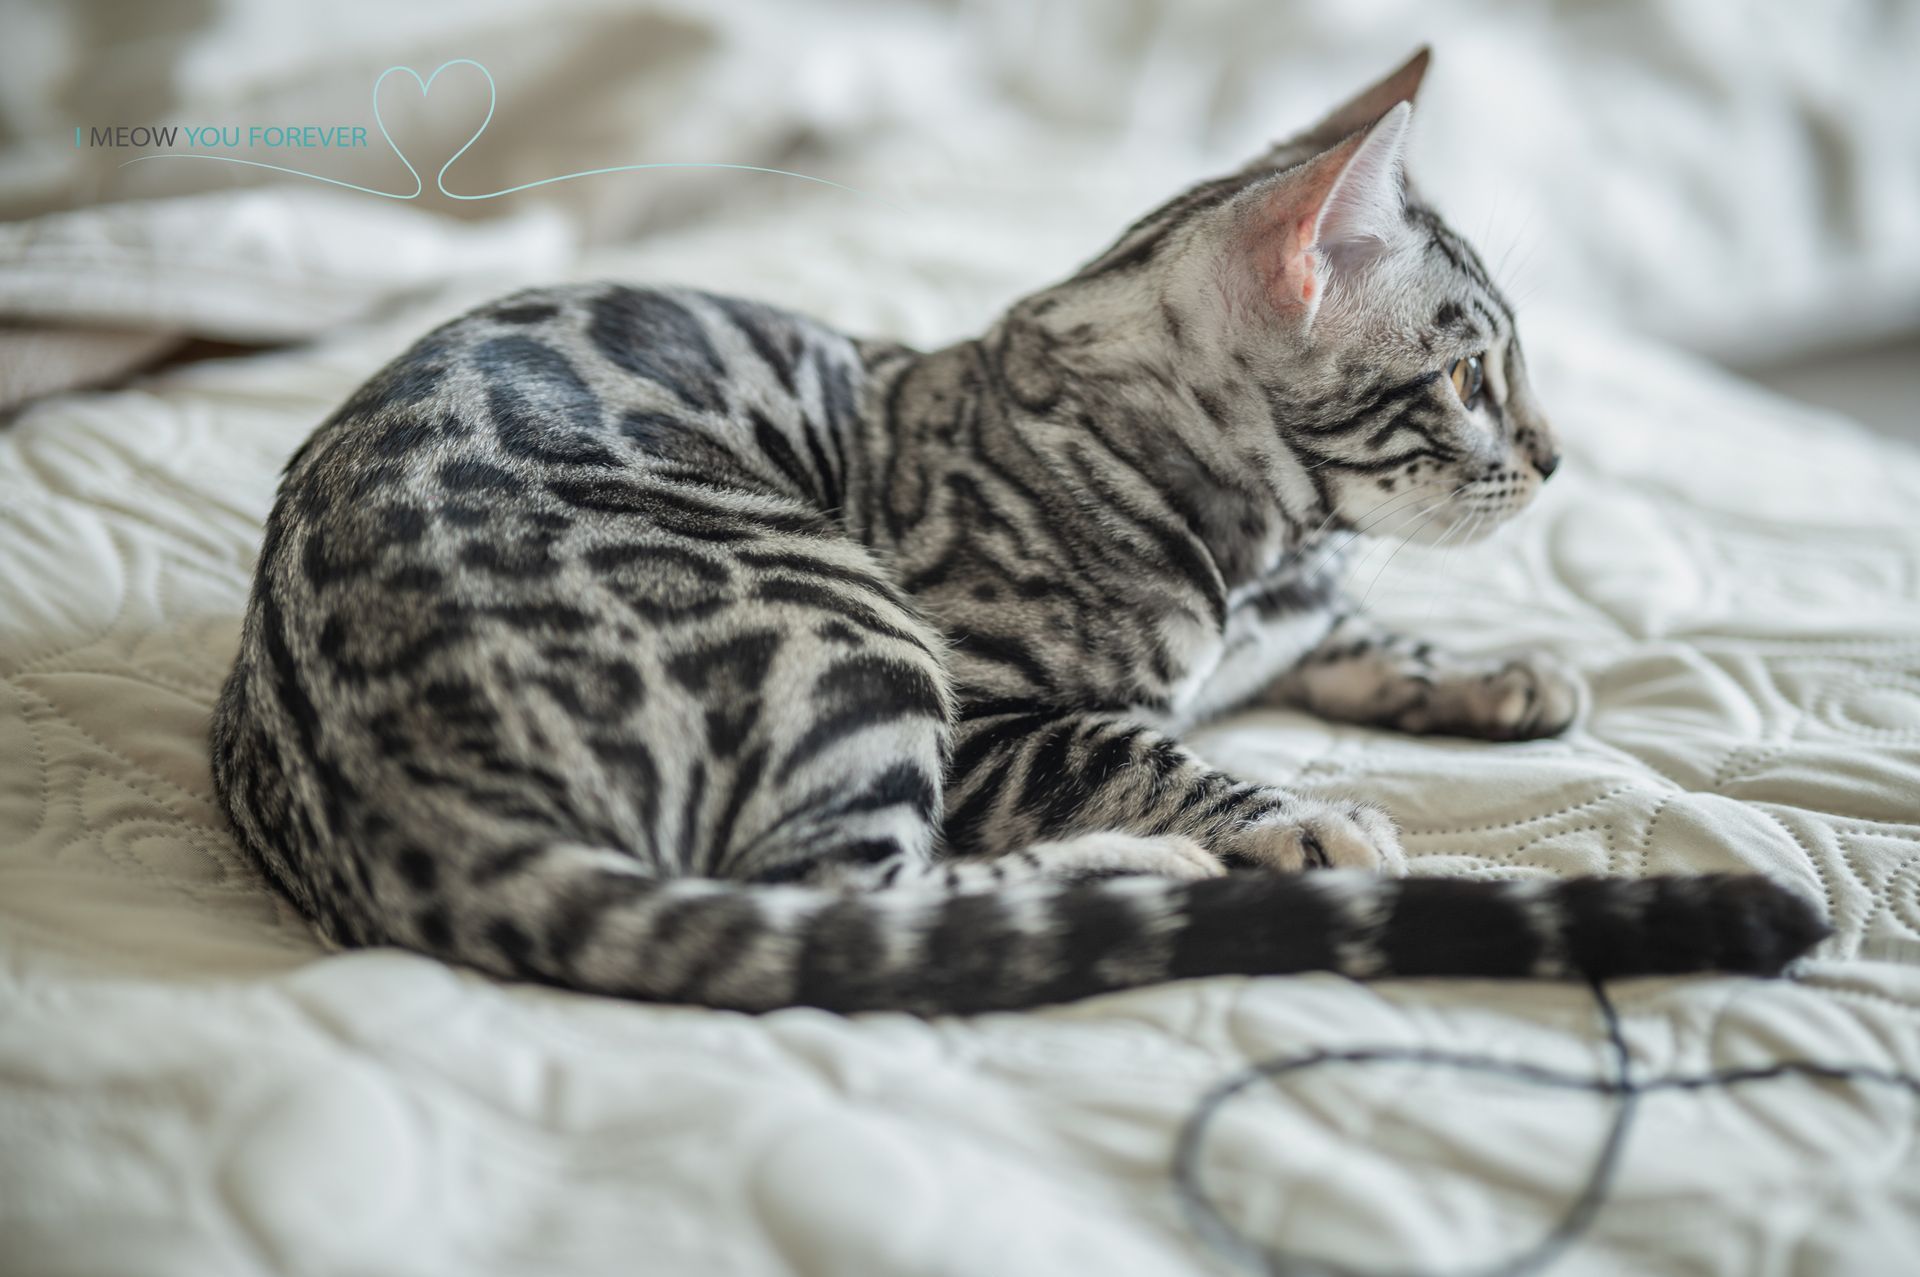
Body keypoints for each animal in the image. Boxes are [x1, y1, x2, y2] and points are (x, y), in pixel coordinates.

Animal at [214, 44, 1827, 1013]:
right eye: (1471, 378)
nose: (1555, 459)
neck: (1258, 539)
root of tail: (402, 794)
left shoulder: (1287, 611)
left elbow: (1349, 631)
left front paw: (1492, 671)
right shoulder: (998, 711)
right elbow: (1140, 744)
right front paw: (1290, 810)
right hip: (850, 629)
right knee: (846, 907)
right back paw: (1142, 869)